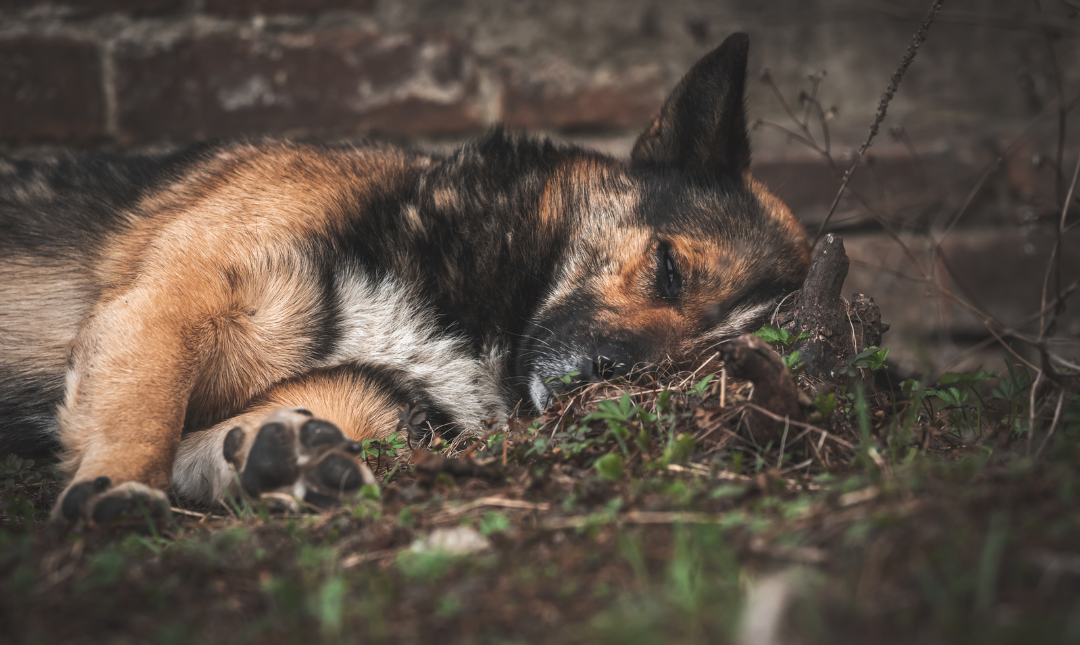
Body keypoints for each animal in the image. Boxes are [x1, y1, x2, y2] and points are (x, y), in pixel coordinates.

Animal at [0, 33, 812, 522]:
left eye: (701, 363)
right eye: (670, 270)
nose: (616, 377)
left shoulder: (382, 393)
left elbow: (292, 416)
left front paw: (279, 458)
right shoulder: (172, 302)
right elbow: (148, 402)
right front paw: (120, 482)